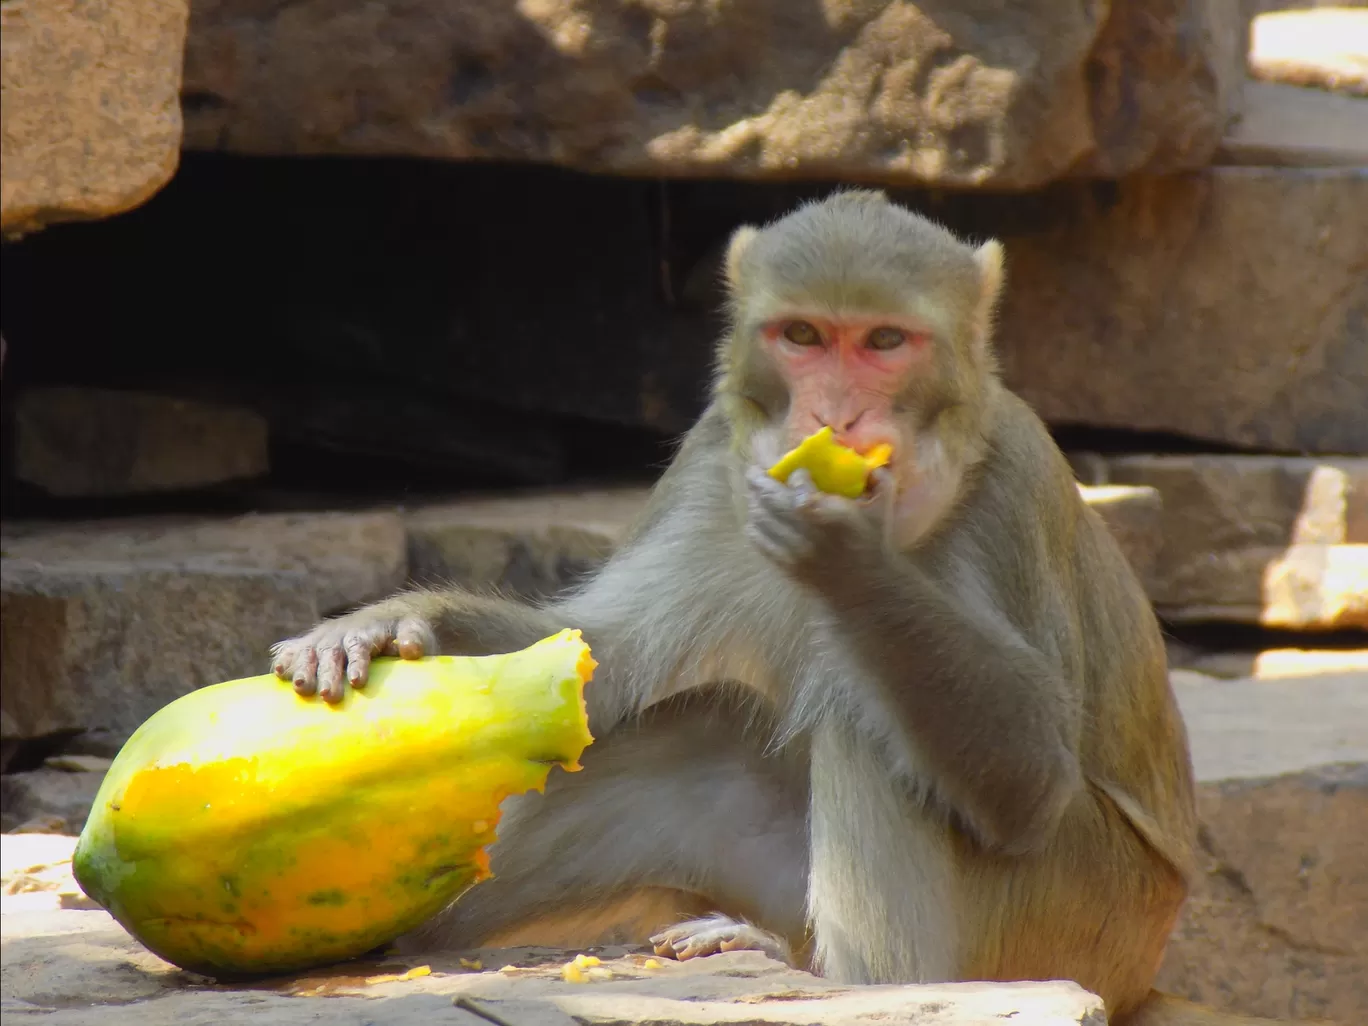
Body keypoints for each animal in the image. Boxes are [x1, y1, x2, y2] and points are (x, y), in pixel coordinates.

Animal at [269, 192, 1231, 1026]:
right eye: (801, 336)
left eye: (885, 341)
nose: (836, 415)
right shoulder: (707, 463)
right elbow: (594, 656)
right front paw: (390, 624)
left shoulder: (1011, 498)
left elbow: (1032, 780)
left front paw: (848, 559)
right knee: (691, 732)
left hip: (1073, 922)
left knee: (869, 725)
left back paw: (864, 985)